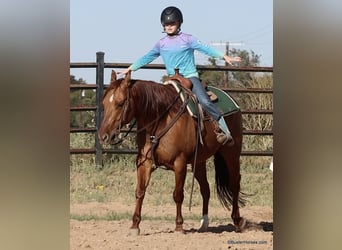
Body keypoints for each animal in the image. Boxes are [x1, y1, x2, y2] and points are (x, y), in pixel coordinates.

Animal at [98, 70, 246, 234]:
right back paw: (204, 223)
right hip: (199, 161)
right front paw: (135, 225)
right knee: (205, 188)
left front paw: (179, 225)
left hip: (231, 153)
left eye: (120, 103)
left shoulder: (180, 163)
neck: (160, 119)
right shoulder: (144, 162)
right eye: (104, 104)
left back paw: (238, 221)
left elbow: (178, 194)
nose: (103, 136)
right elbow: (140, 192)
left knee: (234, 183)